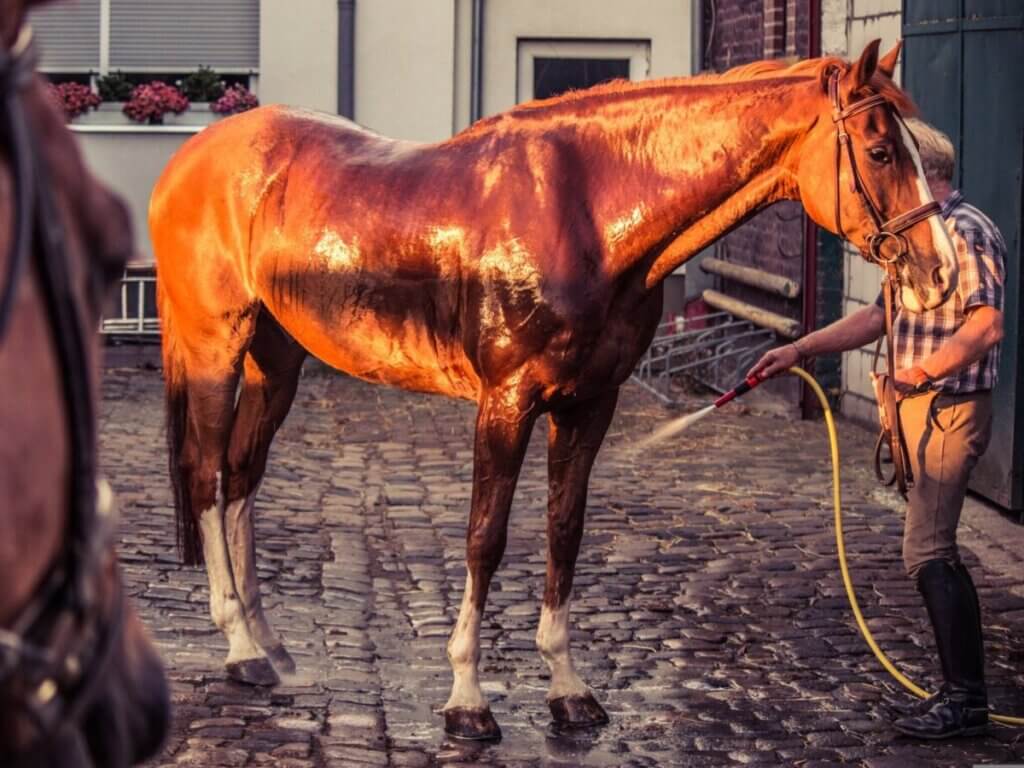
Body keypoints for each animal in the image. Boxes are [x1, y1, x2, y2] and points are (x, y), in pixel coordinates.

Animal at [151, 39, 958, 740]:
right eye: (882, 151)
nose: (940, 272)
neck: (585, 213)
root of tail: (188, 159)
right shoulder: (506, 404)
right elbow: (485, 539)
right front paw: (467, 698)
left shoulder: (588, 404)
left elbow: (564, 533)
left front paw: (569, 692)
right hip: (215, 351)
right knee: (207, 475)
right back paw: (240, 646)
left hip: (276, 360)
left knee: (242, 476)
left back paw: (268, 643)